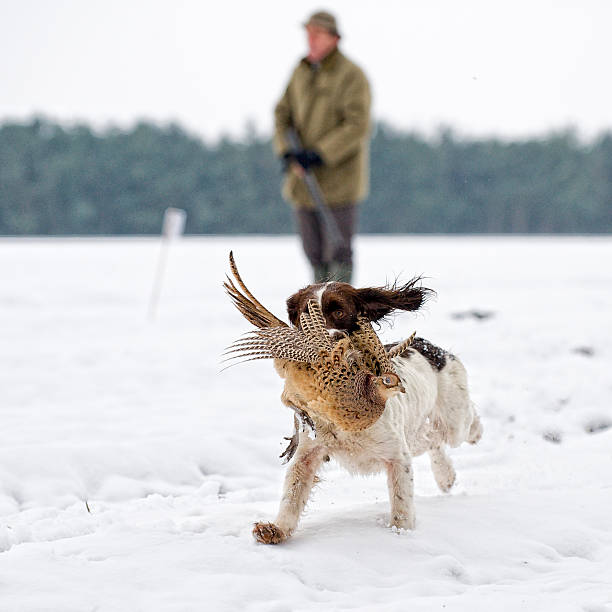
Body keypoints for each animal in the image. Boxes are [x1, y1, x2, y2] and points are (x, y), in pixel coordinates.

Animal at [253, 280, 482, 544]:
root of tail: (430, 347)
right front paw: (276, 529)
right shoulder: (308, 452)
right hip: (417, 432)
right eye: (306, 316)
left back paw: (470, 441)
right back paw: (446, 476)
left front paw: (401, 534)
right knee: (431, 439)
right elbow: (292, 494)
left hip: (453, 420)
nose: (330, 344)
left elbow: (401, 503)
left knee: (463, 425)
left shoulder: (397, 456)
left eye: (339, 311)